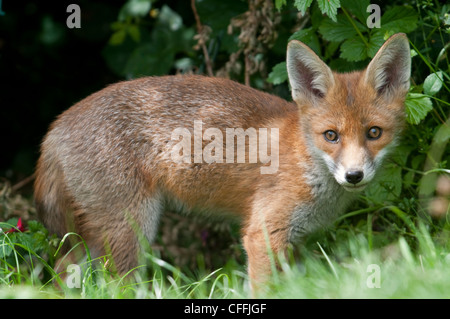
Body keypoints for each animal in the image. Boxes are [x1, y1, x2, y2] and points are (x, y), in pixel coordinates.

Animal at [33, 33, 410, 288]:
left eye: (373, 133)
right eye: (331, 135)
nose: (354, 175)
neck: (305, 159)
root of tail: (56, 124)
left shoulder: (294, 241)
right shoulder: (263, 234)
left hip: (93, 238)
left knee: (62, 276)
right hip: (131, 231)